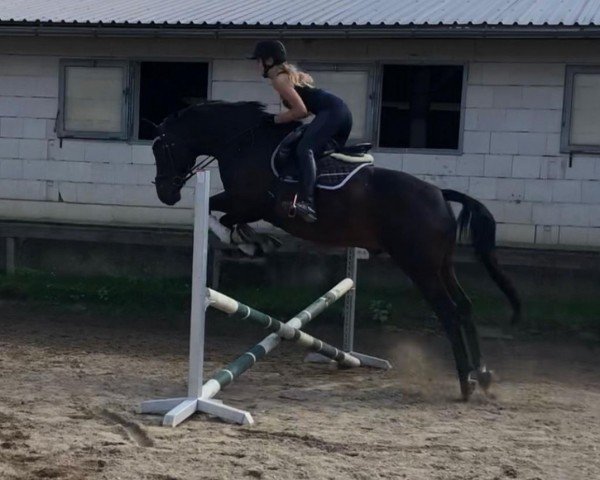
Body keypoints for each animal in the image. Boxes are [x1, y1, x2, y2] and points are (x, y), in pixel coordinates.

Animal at [150, 100, 520, 398]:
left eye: (161, 148)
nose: (165, 194)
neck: (242, 142)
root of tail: (441, 195)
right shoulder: (248, 206)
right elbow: (225, 216)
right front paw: (256, 243)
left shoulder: (250, 202)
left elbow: (215, 212)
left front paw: (245, 242)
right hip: (442, 264)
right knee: (465, 306)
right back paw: (482, 375)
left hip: (420, 267)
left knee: (449, 312)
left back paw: (466, 382)